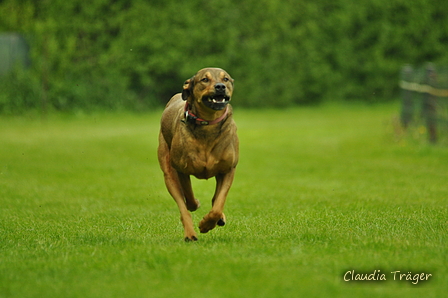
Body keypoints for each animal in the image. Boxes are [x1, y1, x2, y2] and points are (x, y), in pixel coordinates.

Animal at [159, 68, 240, 242]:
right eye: (204, 79)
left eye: (226, 78)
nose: (220, 86)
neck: (208, 123)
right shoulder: (181, 169)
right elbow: (188, 197)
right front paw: (196, 206)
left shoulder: (228, 169)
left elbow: (218, 203)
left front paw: (208, 223)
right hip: (167, 169)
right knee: (183, 205)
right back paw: (190, 234)